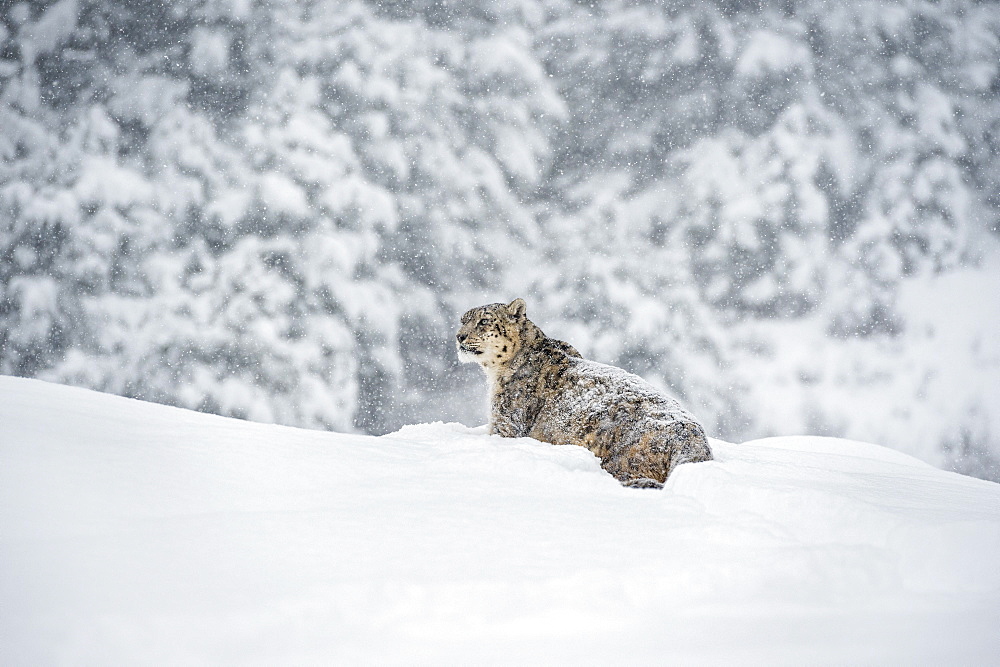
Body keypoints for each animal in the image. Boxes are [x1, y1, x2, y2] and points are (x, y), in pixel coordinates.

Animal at [458, 300, 716, 488]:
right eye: (463, 320)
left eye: (484, 321)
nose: (459, 336)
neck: (496, 373)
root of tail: (693, 436)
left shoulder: (506, 422)